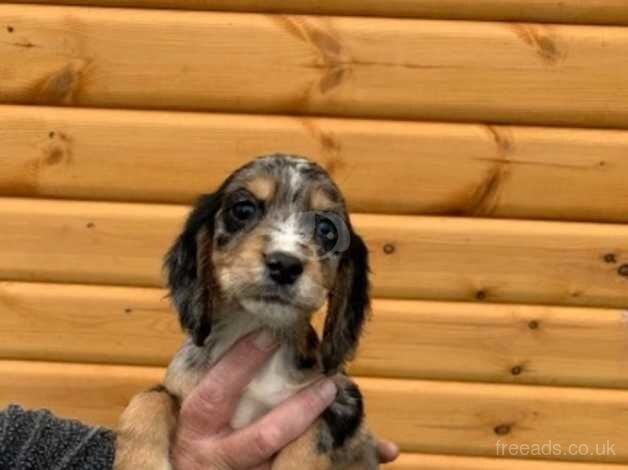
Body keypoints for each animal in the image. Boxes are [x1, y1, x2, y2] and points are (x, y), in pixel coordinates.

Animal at [114, 155, 378, 470]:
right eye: (243, 210)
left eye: (327, 229)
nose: (285, 264)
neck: (252, 325)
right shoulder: (179, 389)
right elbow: (148, 398)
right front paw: (139, 462)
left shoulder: (339, 399)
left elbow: (311, 437)